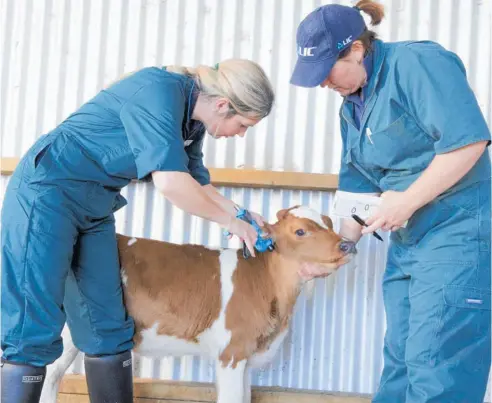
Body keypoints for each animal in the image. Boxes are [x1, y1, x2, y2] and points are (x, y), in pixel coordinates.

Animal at [40, 207, 356, 402]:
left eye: (329, 223)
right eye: (300, 231)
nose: (347, 245)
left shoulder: (245, 355)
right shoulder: (231, 352)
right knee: (50, 374)